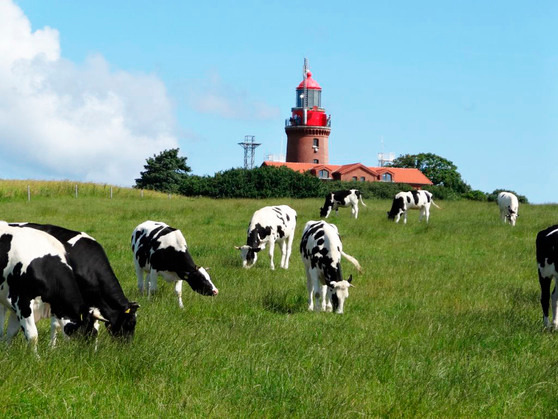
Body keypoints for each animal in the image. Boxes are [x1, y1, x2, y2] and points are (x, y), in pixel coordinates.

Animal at [0, 223, 103, 352]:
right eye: (89, 333)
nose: (92, 354)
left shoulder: (15, 305)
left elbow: (11, 332)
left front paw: (6, 352)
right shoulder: (22, 301)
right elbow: (32, 335)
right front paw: (36, 357)